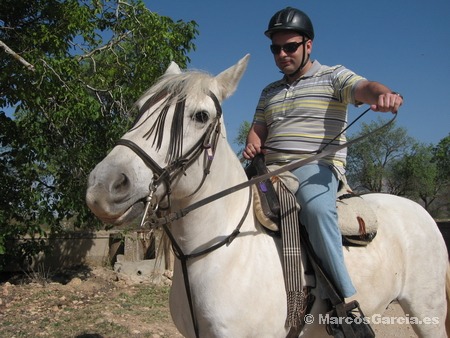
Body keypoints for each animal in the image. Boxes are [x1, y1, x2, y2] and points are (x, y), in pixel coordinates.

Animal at [85, 54, 450, 336]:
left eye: (200, 116)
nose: (104, 186)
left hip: (425, 311)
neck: (222, 251)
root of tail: (419, 211)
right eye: (140, 109)